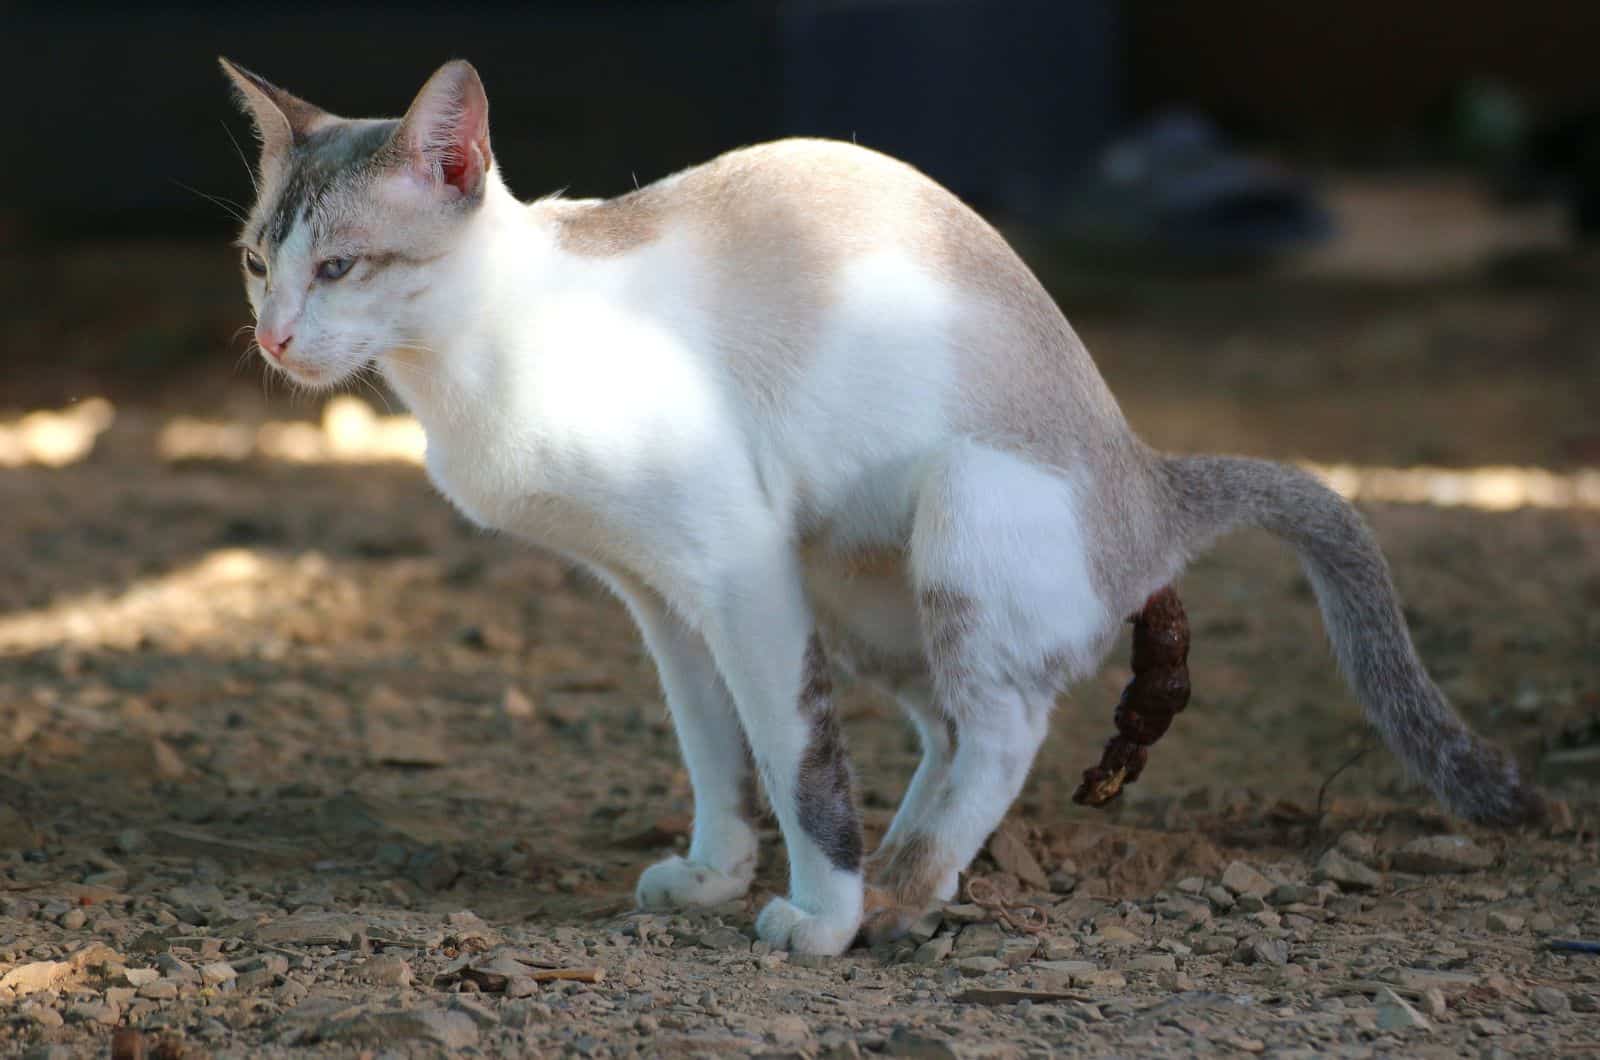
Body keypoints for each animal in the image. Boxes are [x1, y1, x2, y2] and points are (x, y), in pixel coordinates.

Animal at [219, 56, 1542, 954]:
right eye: (256, 261)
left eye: (340, 267)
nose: (273, 338)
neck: (472, 366)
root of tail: (1147, 474)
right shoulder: (659, 597)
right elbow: (715, 752)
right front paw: (713, 877)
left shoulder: (736, 571)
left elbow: (797, 762)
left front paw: (818, 914)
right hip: (852, 593)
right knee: (952, 727)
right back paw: (914, 868)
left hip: (952, 506)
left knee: (1002, 727)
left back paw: (895, 896)